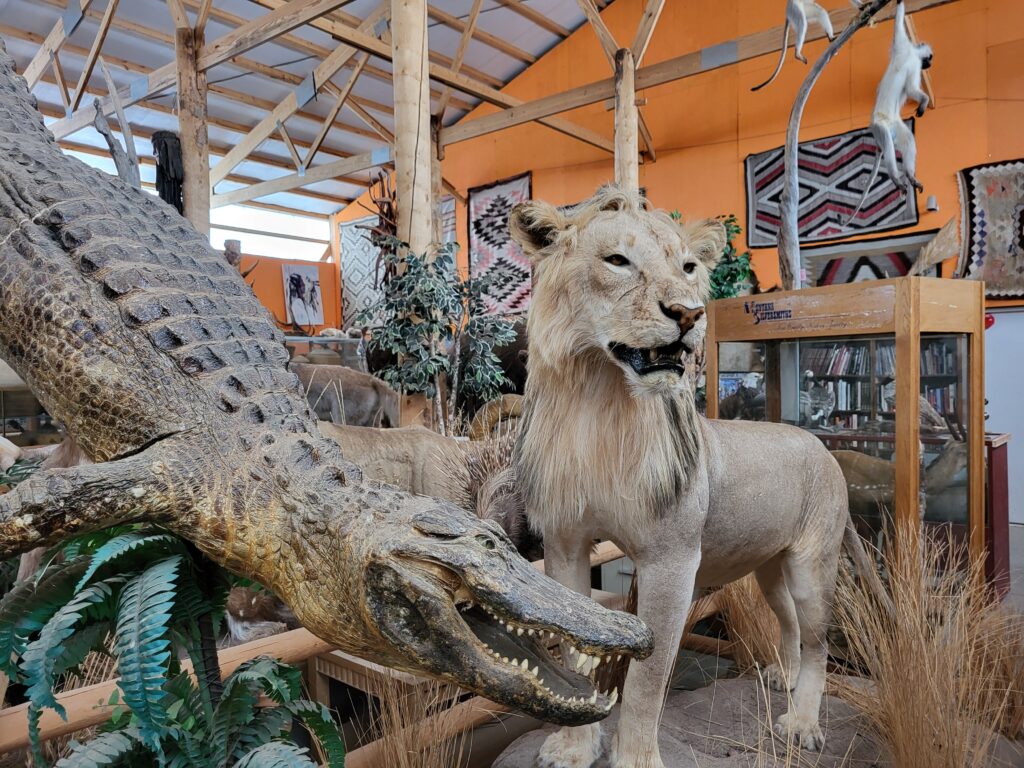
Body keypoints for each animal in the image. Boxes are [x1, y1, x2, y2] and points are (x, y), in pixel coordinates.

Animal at [507, 188, 868, 768]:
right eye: (617, 260)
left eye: (688, 268)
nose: (689, 312)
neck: (600, 404)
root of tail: (819, 442)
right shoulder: (565, 545)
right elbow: (576, 649)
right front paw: (574, 747)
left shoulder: (671, 560)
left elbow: (649, 676)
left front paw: (634, 758)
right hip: (770, 564)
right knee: (788, 623)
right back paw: (782, 678)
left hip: (814, 564)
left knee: (818, 640)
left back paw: (803, 722)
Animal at [843, 0, 933, 224]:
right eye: (930, 58)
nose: (930, 63)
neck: (911, 53)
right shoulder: (906, 51)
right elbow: (912, 88)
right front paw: (924, 102)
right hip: (880, 127)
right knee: (890, 149)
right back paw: (895, 177)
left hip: (895, 126)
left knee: (907, 140)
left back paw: (909, 175)